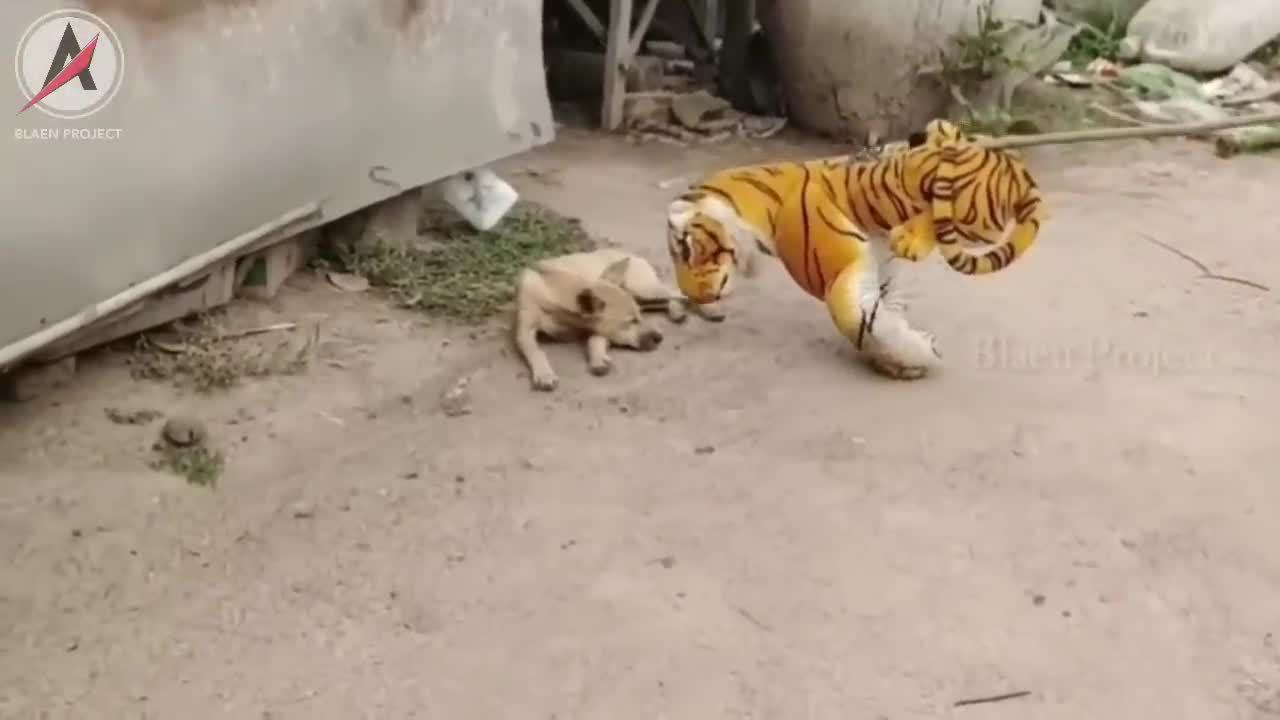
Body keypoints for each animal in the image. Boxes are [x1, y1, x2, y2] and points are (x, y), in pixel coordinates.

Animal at [517, 248, 721, 392]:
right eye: (630, 322)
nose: (659, 338)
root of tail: (628, 253)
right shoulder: (523, 332)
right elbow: (535, 351)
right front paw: (544, 373)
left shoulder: (599, 328)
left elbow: (594, 339)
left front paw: (597, 357)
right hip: (641, 297)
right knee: (669, 299)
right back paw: (676, 311)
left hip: (642, 288)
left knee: (679, 292)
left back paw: (710, 310)